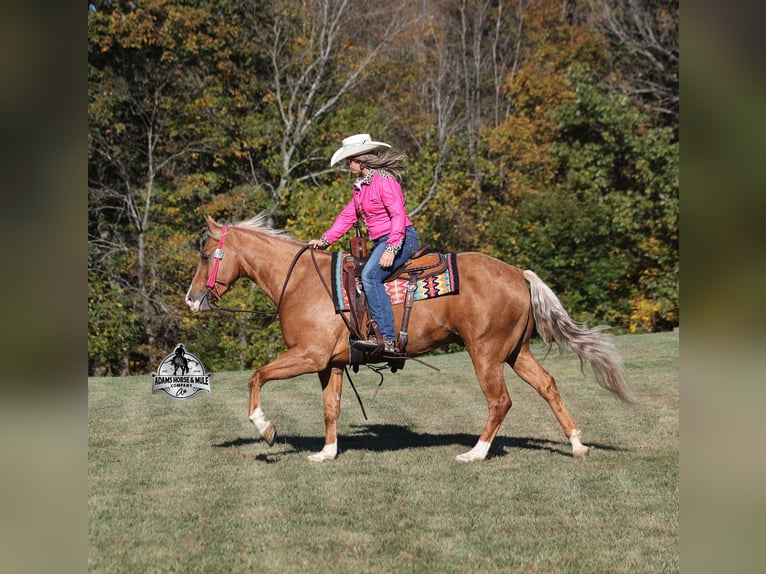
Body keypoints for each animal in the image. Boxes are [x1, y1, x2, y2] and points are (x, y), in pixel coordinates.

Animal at [184, 213, 634, 462]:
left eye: (205, 256)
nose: (192, 299)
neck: (300, 283)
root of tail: (517, 273)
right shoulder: (330, 364)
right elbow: (331, 409)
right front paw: (326, 453)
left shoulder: (308, 355)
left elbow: (256, 376)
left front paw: (266, 428)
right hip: (515, 352)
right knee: (548, 386)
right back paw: (576, 445)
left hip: (486, 354)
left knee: (500, 401)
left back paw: (475, 453)